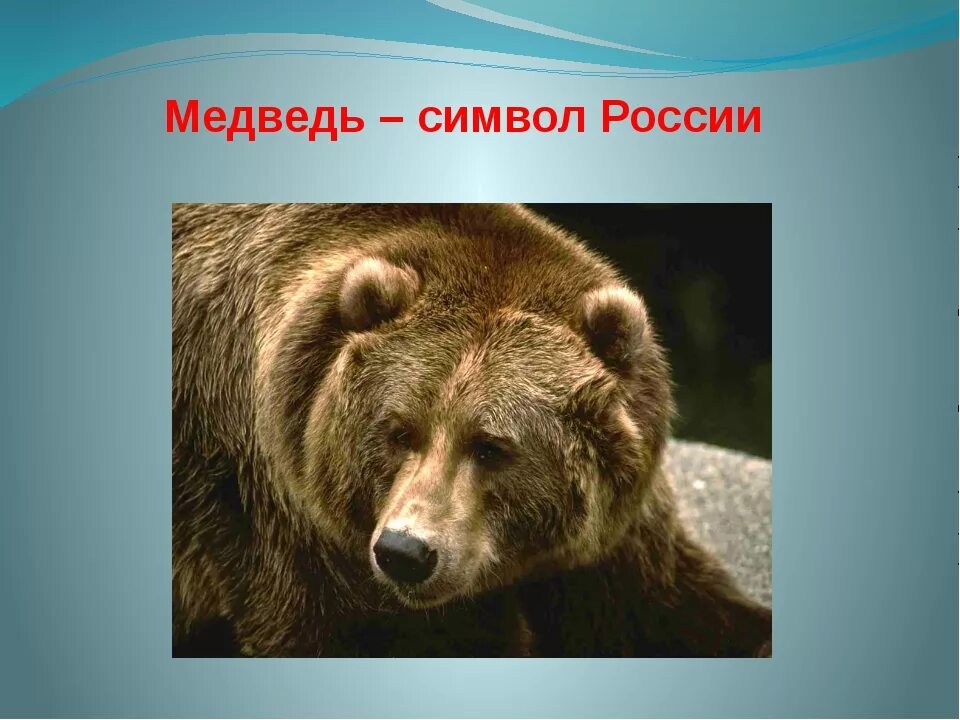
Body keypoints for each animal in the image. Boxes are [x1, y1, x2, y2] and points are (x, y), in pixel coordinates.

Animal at [172, 203, 771, 657]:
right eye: (399, 431)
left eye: (490, 446)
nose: (405, 552)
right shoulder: (274, 509)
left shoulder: (614, 534)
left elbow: (677, 610)